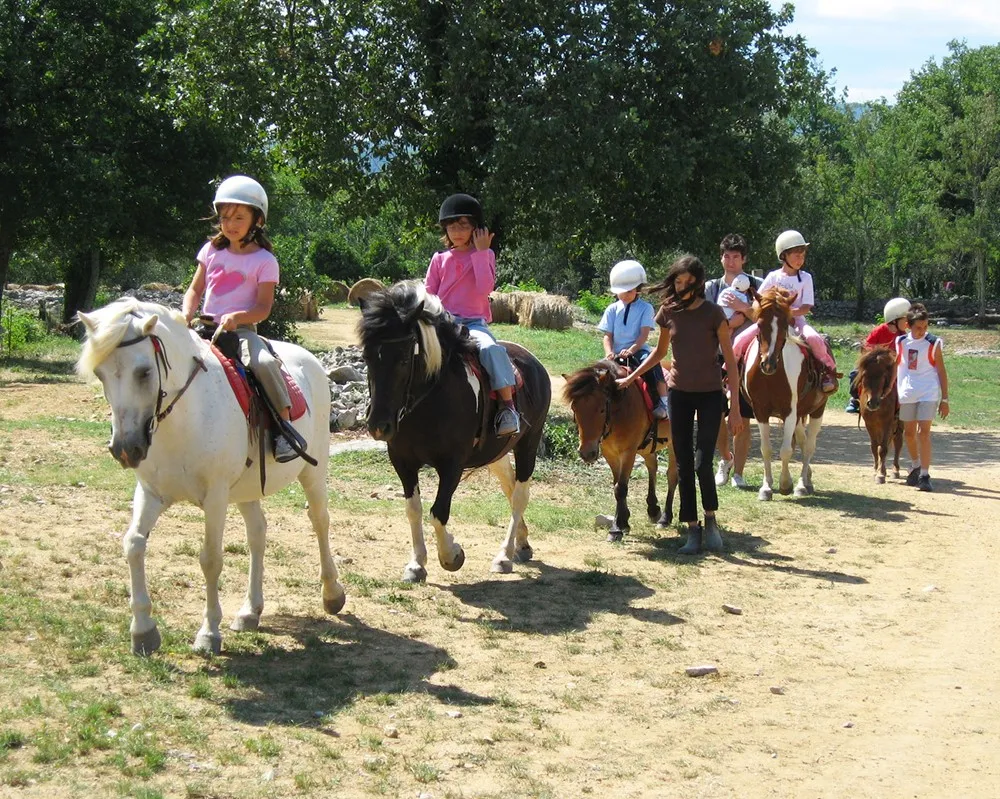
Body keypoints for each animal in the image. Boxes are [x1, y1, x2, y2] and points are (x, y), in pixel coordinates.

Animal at [76, 300, 346, 656]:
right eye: (100, 374)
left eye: (144, 372)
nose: (125, 449)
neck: (185, 417)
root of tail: (310, 361)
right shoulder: (151, 492)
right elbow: (133, 544)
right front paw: (143, 631)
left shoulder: (215, 497)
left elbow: (211, 560)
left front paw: (208, 633)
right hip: (246, 488)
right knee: (257, 533)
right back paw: (250, 611)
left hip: (312, 472)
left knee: (320, 521)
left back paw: (332, 594)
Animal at [360, 282, 552, 580]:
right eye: (367, 357)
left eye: (403, 358)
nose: (379, 426)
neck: (430, 399)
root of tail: (533, 362)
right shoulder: (402, 461)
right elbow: (413, 509)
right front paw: (416, 564)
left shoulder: (452, 464)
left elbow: (438, 512)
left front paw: (451, 555)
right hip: (497, 453)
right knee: (510, 487)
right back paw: (522, 544)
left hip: (528, 444)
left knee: (520, 496)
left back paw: (504, 556)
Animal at [564, 360, 680, 544]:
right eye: (575, 408)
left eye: (601, 409)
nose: (586, 453)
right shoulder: (609, 453)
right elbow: (616, 485)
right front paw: (624, 521)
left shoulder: (628, 452)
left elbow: (621, 488)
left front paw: (616, 529)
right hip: (647, 447)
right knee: (652, 465)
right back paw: (653, 509)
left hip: (673, 442)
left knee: (672, 475)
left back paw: (665, 518)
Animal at [744, 288, 828, 500]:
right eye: (759, 324)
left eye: (784, 325)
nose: (768, 364)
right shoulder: (761, 411)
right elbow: (766, 449)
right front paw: (766, 488)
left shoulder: (790, 411)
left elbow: (785, 450)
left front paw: (784, 484)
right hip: (799, 416)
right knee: (803, 441)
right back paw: (807, 480)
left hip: (817, 410)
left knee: (809, 445)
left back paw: (802, 485)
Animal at [852, 346, 908, 484]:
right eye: (865, 374)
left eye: (883, 376)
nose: (872, 403)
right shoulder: (870, 423)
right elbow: (874, 447)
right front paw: (875, 470)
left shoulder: (887, 422)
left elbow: (882, 449)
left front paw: (881, 475)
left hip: (898, 423)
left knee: (898, 442)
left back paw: (895, 470)